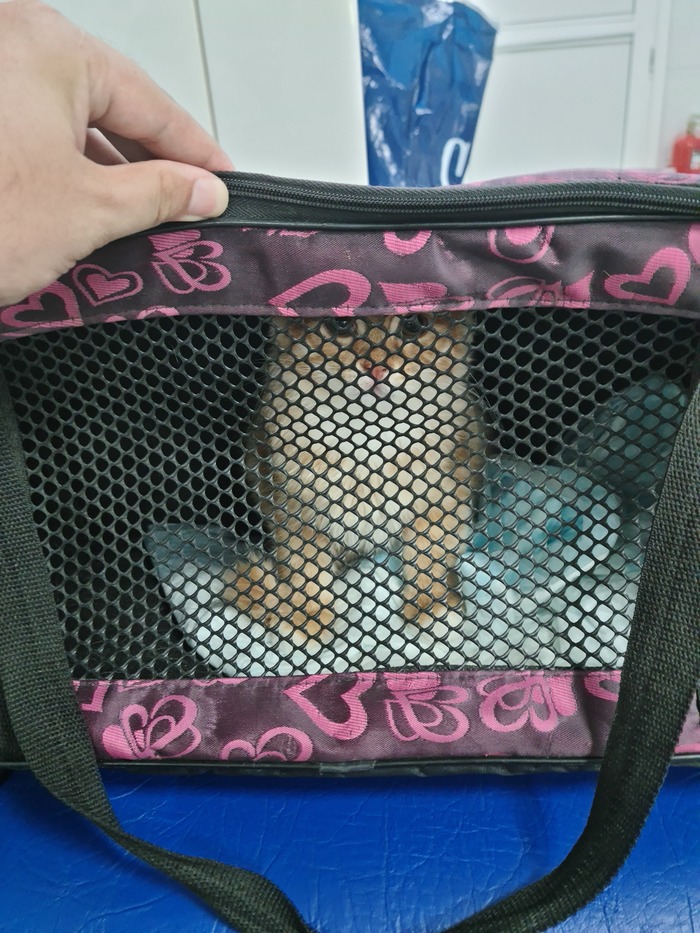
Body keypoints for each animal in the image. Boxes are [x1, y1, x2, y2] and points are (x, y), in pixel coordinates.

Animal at [222, 311, 483, 653]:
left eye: (413, 324)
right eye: (341, 324)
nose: (376, 368)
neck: (368, 438)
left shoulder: (443, 498)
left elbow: (429, 558)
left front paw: (430, 610)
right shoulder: (294, 509)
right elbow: (305, 569)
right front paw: (309, 620)